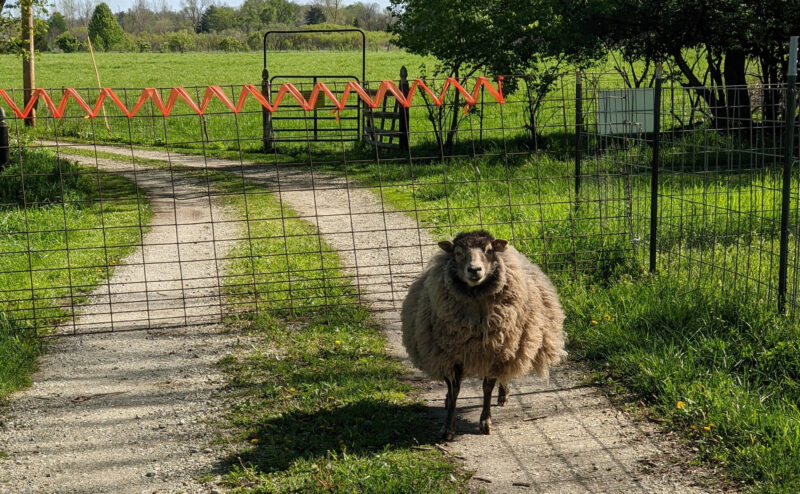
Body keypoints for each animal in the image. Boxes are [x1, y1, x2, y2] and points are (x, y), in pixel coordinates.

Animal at [401, 230, 566, 440]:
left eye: (488, 250)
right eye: (458, 252)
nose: (474, 270)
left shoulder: (495, 353)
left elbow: (487, 388)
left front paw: (485, 422)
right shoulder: (449, 355)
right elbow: (454, 389)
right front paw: (448, 427)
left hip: (510, 346)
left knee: (504, 375)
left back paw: (503, 394)